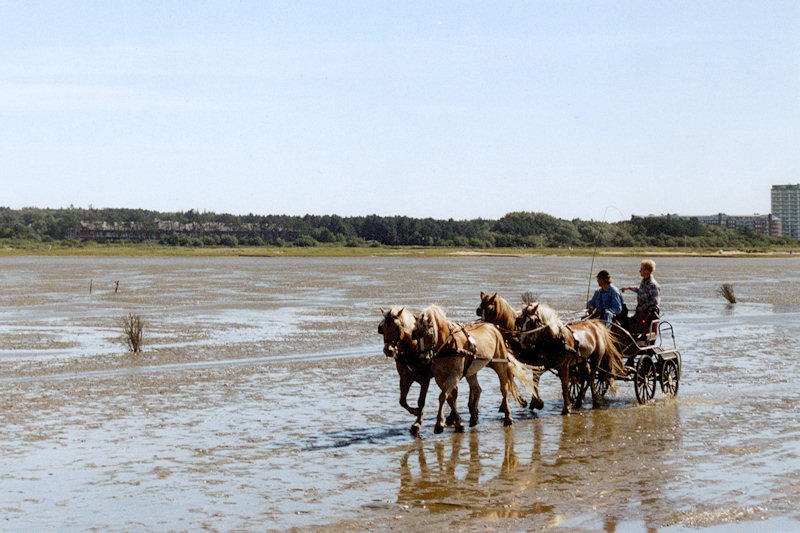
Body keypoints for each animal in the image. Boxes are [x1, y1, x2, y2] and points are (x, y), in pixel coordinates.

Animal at [378, 306, 460, 434]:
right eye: (382, 328)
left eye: (397, 327)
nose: (388, 350)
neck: (411, 350)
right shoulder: (404, 378)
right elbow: (402, 401)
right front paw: (415, 412)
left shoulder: (425, 379)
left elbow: (421, 401)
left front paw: (417, 422)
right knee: (453, 392)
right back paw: (452, 417)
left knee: (453, 392)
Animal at [412, 304, 532, 432]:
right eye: (415, 334)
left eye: (430, 333)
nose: (423, 358)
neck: (448, 345)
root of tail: (494, 327)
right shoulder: (439, 377)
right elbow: (449, 398)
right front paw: (458, 422)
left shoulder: (455, 374)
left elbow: (443, 396)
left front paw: (439, 423)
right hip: (471, 370)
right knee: (477, 389)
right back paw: (474, 417)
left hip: (500, 364)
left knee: (504, 389)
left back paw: (508, 417)